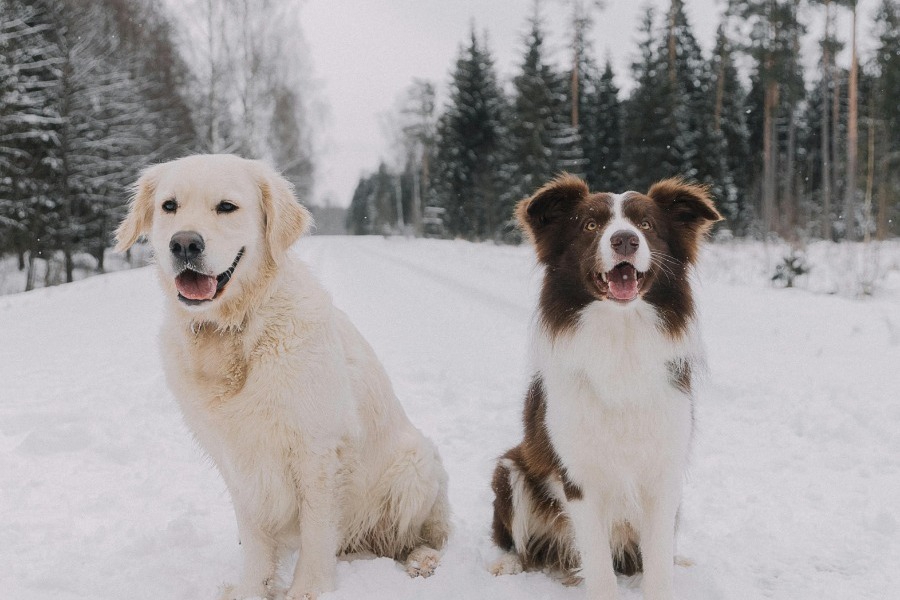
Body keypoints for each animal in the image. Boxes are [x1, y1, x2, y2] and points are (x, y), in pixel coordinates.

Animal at [116, 155, 450, 600]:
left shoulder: (318, 451)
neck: (235, 331)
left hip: (415, 465)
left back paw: (421, 559)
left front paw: (308, 589)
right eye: (169, 206)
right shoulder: (237, 459)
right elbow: (256, 540)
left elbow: (317, 531)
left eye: (226, 207)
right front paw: (251, 590)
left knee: (417, 538)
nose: (184, 244)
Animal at [488, 175, 720, 600]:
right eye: (591, 225)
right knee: (516, 540)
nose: (625, 240)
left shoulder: (664, 472)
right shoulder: (579, 477)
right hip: (509, 470)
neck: (620, 336)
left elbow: (657, 564)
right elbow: (597, 565)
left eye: (646, 225)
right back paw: (507, 563)